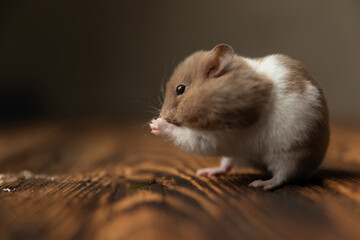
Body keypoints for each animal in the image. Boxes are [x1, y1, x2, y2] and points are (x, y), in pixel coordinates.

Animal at [149, 43, 330, 189]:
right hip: (240, 153)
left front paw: (155, 124)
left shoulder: (219, 134)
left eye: (180, 89)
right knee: (227, 165)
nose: (162, 115)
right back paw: (206, 172)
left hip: (292, 154)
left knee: (282, 176)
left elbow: (186, 137)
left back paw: (260, 184)